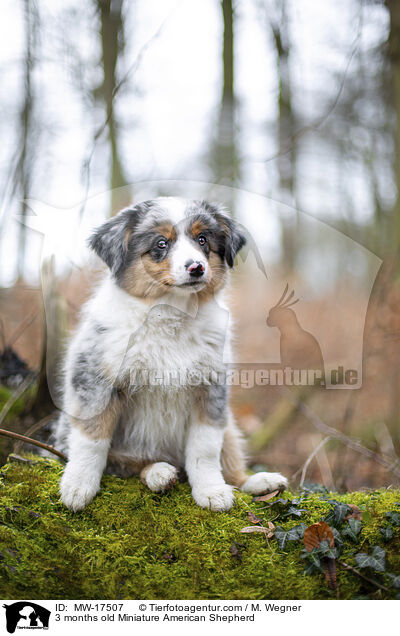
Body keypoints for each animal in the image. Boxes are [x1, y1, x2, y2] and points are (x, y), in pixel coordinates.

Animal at [56, 199, 288, 512]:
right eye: (161, 243)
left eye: (202, 240)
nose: (197, 267)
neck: (171, 314)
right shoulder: (96, 380)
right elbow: (91, 440)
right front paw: (78, 487)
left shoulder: (210, 388)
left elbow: (205, 448)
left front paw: (212, 491)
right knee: (126, 464)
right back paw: (159, 472)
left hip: (229, 425)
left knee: (229, 457)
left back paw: (257, 481)